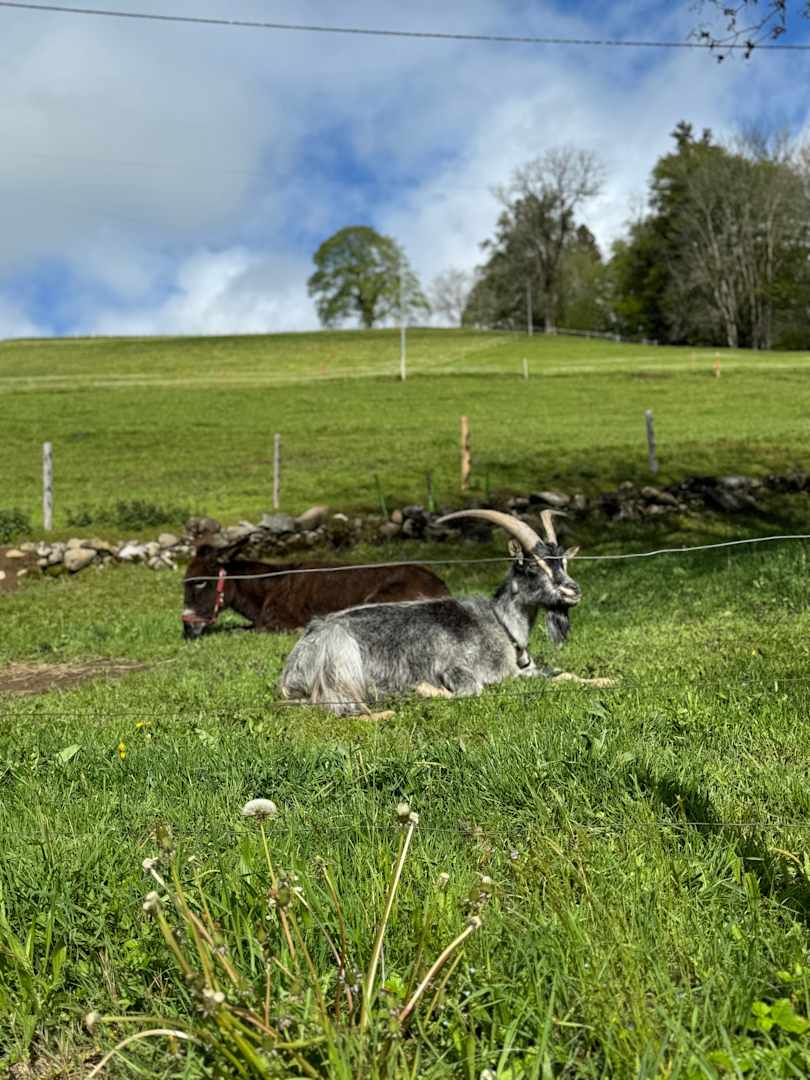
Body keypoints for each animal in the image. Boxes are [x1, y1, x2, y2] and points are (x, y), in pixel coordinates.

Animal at [181, 536, 450, 639]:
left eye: (201, 582)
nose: (186, 628)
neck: (271, 587)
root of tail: (441, 586)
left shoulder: (276, 623)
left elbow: (241, 630)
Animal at [280, 509, 609, 714]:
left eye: (562, 562)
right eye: (531, 568)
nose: (572, 591)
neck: (501, 626)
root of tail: (291, 670)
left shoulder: (525, 669)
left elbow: (563, 674)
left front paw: (605, 681)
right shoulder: (457, 668)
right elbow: (474, 688)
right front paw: (428, 689)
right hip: (340, 654)